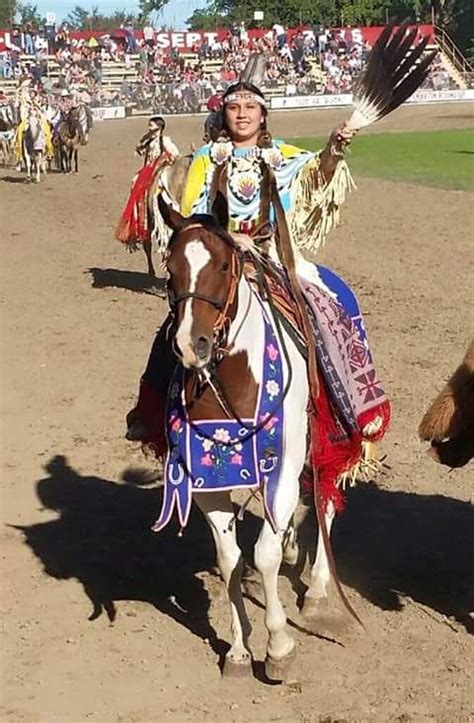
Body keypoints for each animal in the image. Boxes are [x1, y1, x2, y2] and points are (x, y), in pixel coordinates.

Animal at [156, 201, 348, 680]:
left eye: (224, 266)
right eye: (170, 267)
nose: (191, 344)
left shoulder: (280, 468)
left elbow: (263, 556)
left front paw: (278, 646)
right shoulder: (206, 482)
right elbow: (231, 558)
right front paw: (240, 650)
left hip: (325, 445)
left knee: (326, 499)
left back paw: (317, 590)